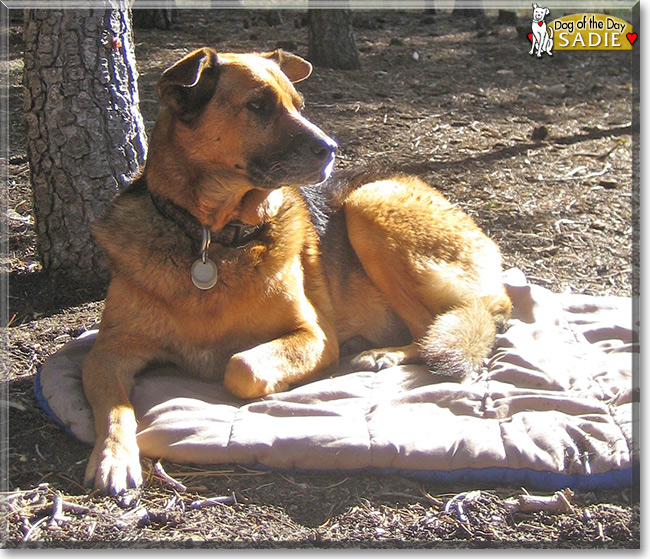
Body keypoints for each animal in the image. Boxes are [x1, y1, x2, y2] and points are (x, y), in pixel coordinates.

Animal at [81, 47, 508, 494]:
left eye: (298, 106)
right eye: (258, 106)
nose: (331, 148)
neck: (212, 240)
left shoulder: (314, 335)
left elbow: (241, 366)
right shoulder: (107, 352)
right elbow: (114, 407)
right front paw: (114, 456)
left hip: (368, 204)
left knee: (430, 329)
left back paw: (383, 353)